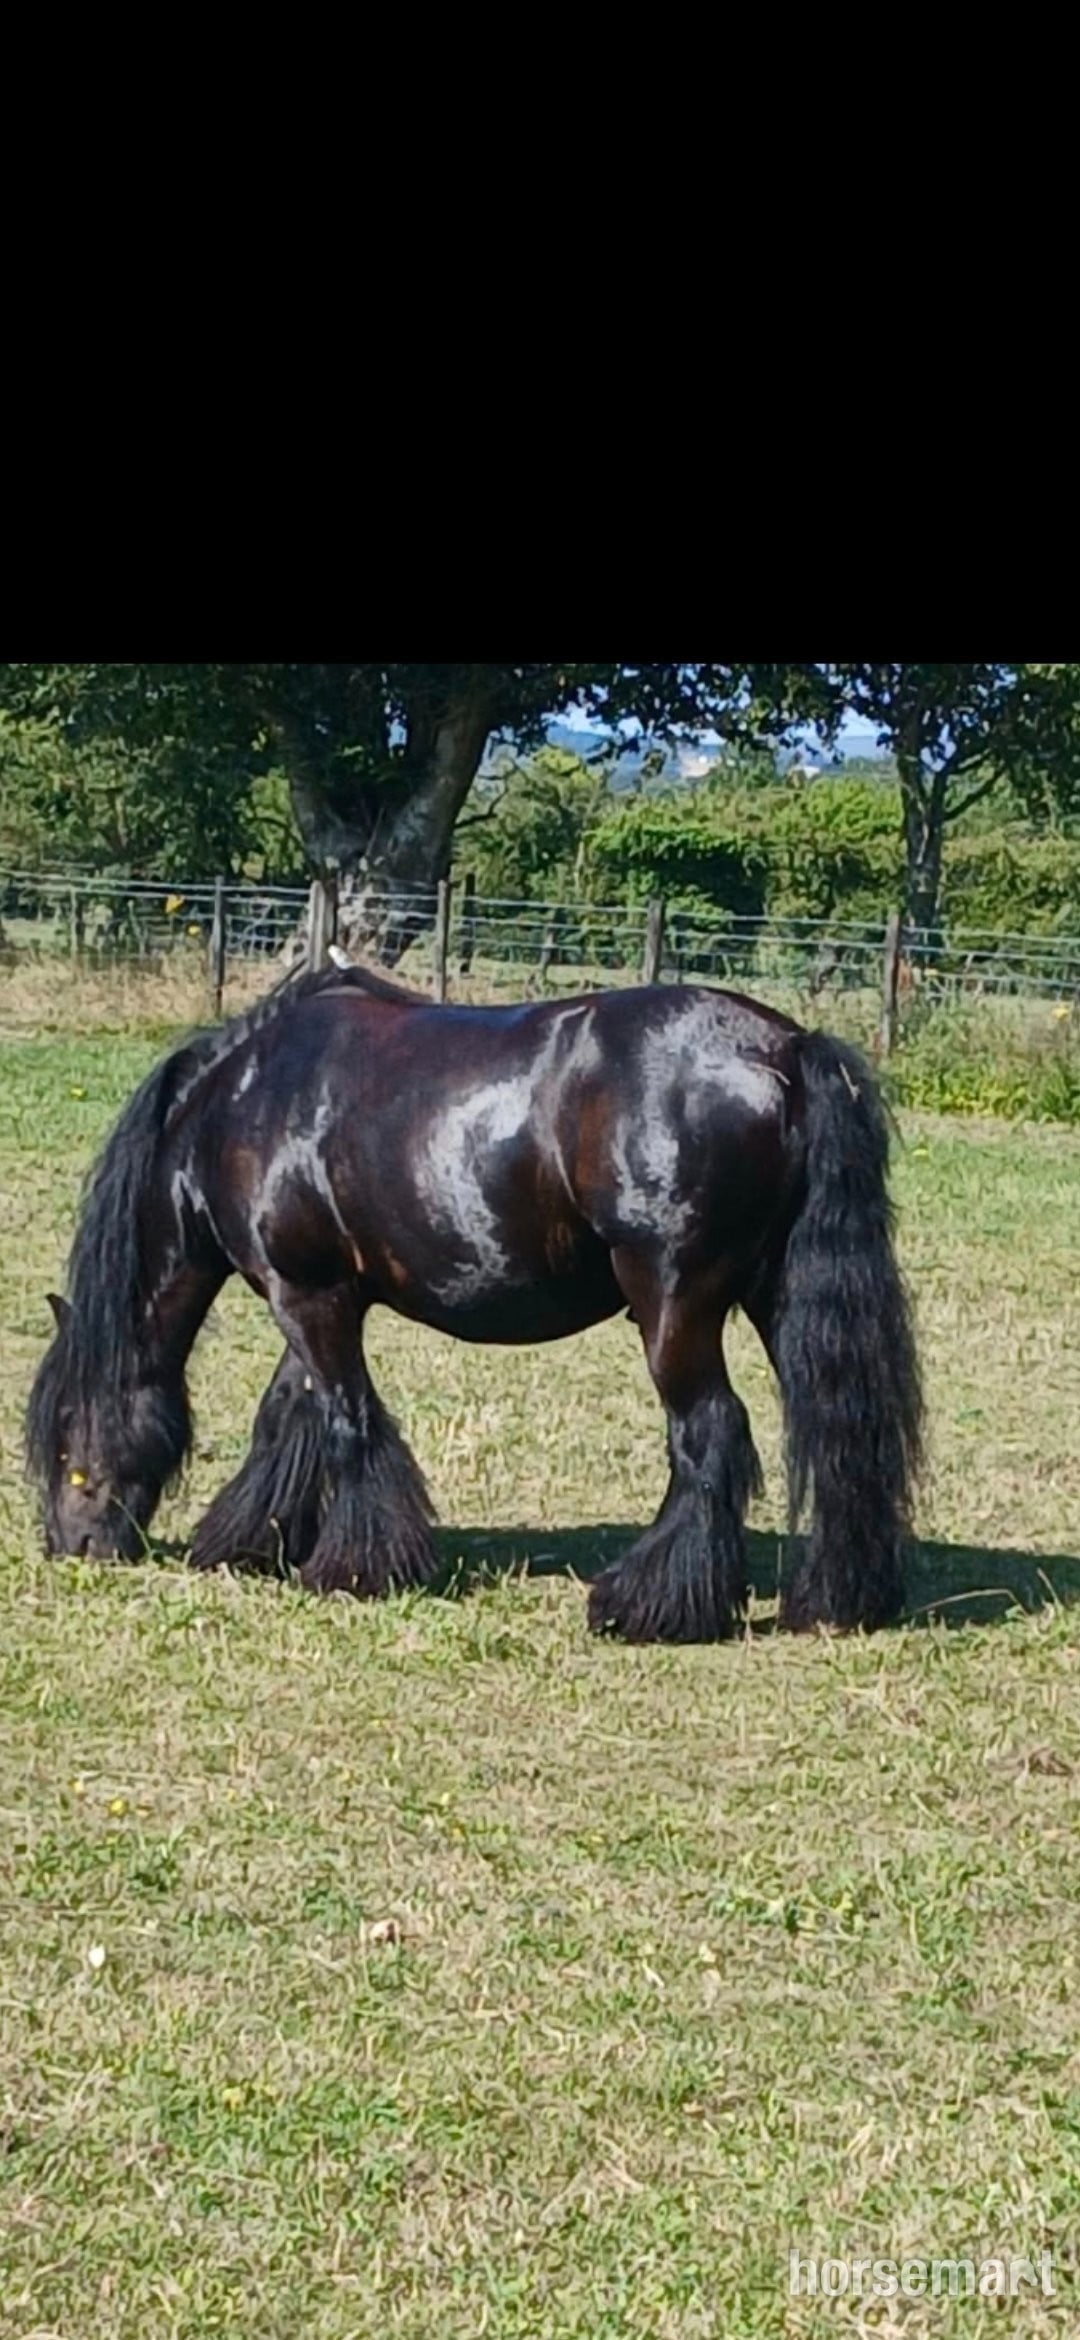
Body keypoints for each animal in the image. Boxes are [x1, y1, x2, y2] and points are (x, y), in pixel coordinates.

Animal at [25, 964, 922, 1642]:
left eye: (68, 1428)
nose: (69, 1545)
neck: (248, 1098)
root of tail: (784, 1048)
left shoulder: (305, 1294)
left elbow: (345, 1418)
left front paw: (356, 1567)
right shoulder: (319, 1293)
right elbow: (290, 1416)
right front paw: (249, 1540)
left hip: (673, 1305)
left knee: (708, 1434)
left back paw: (648, 1605)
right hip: (780, 1297)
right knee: (836, 1437)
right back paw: (836, 1597)